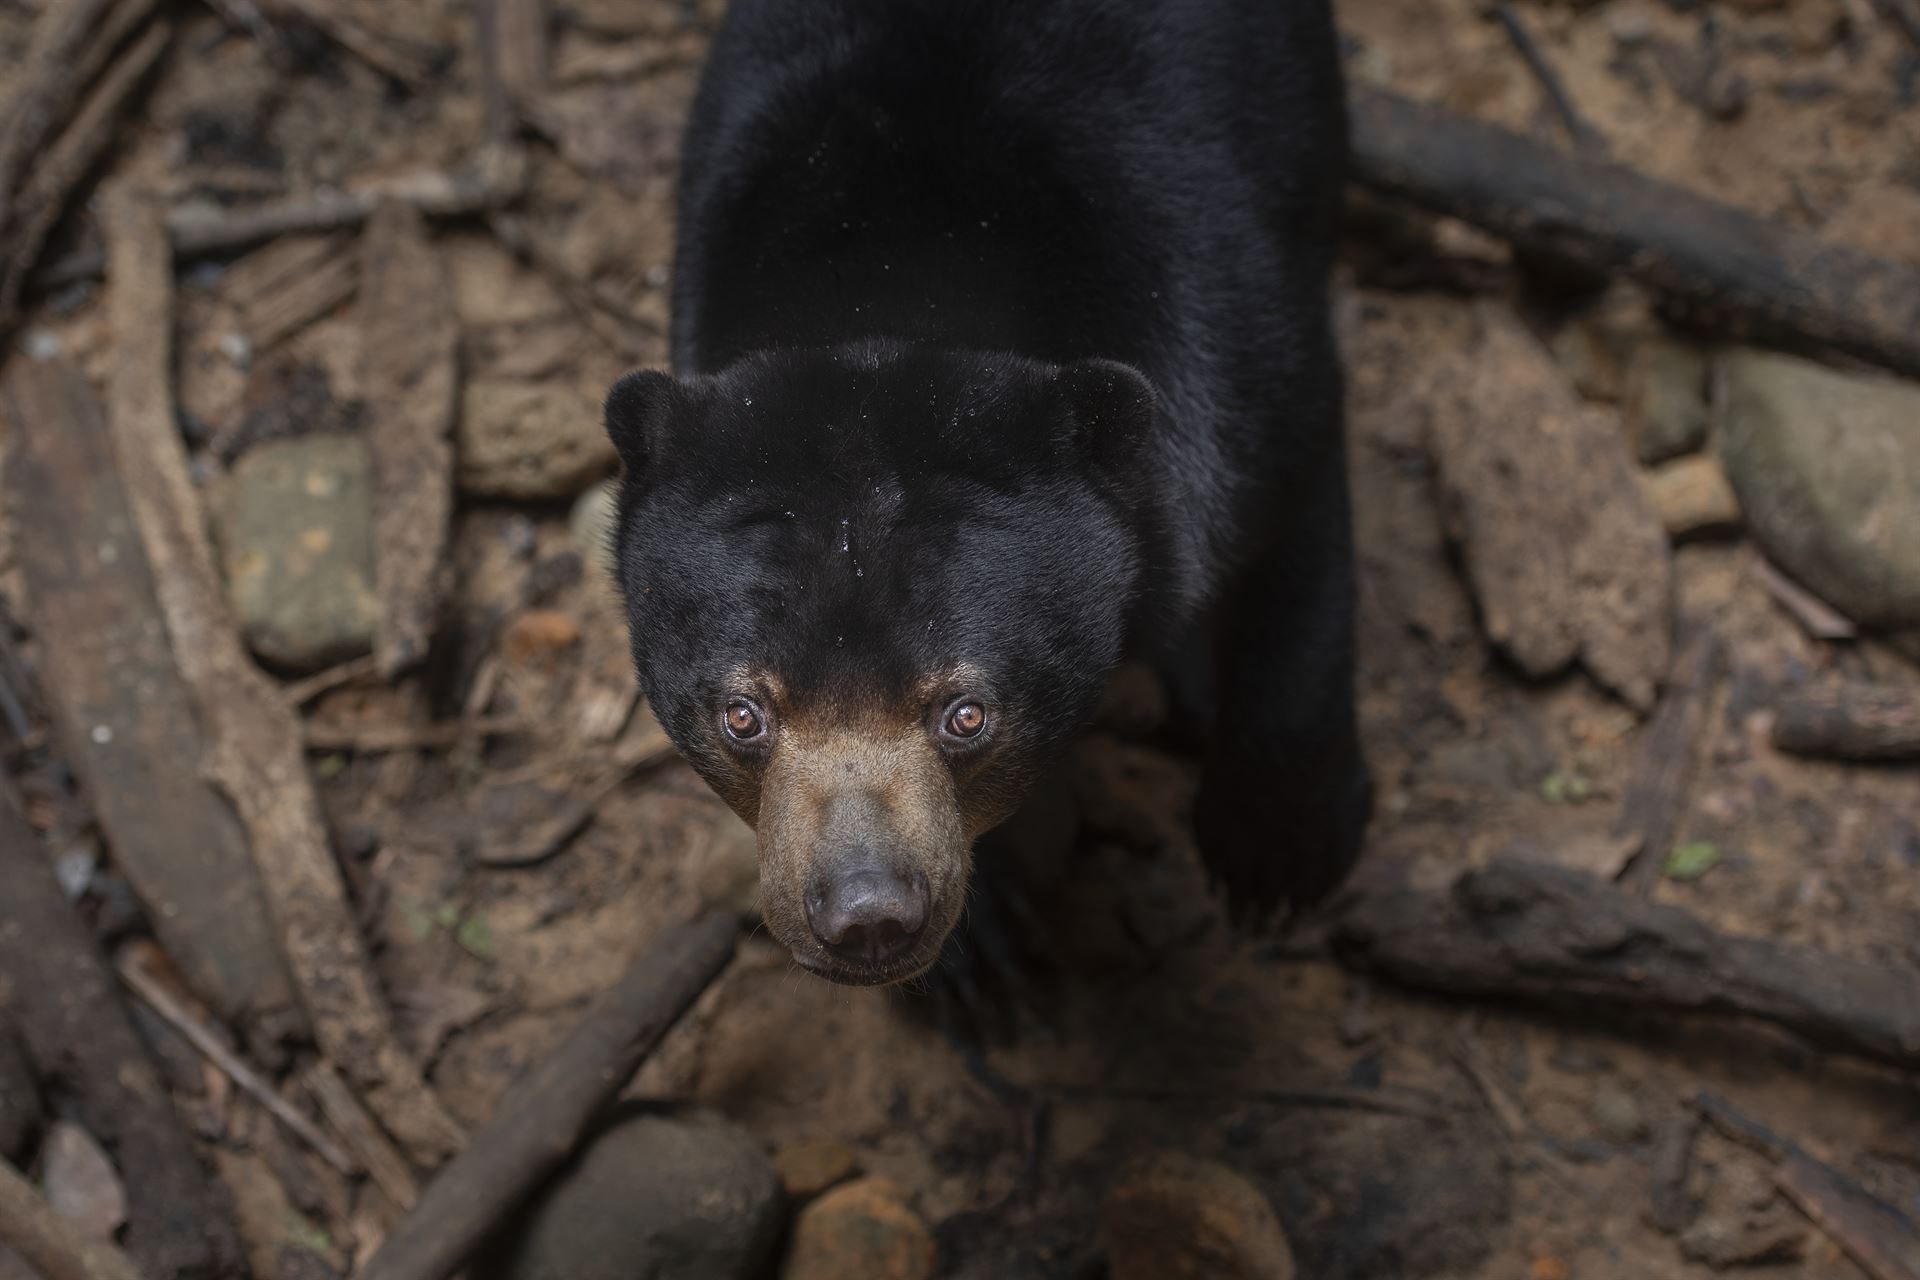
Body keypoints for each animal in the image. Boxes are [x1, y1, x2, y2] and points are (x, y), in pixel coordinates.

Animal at [606, 0, 1374, 990]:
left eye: (966, 714)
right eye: (744, 716)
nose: (866, 915)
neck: (897, 269)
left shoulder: (1228, 355)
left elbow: (1296, 526)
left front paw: (1277, 856)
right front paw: (976, 959)